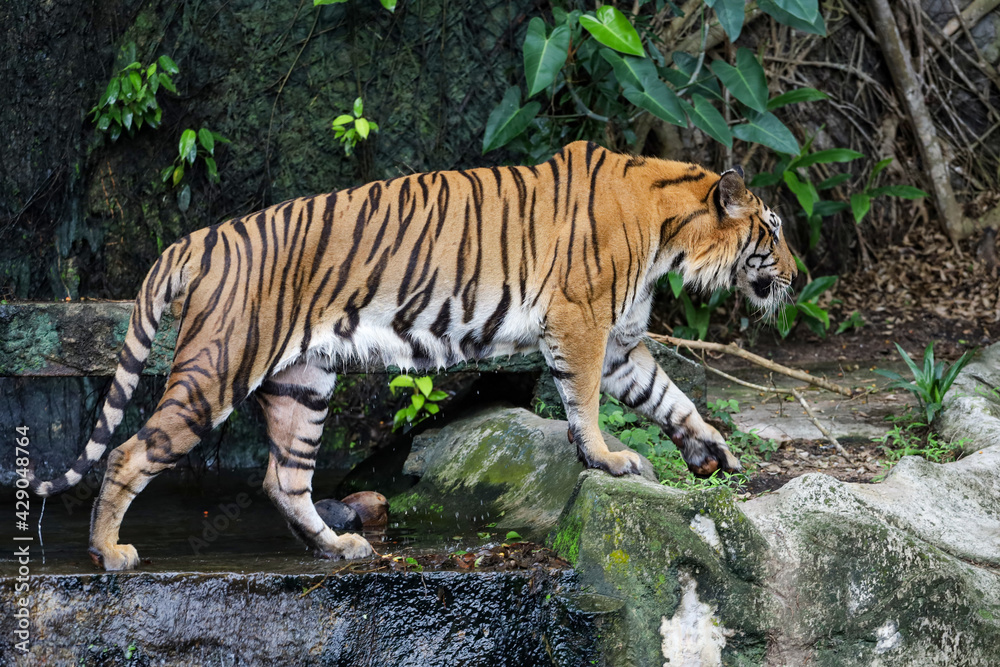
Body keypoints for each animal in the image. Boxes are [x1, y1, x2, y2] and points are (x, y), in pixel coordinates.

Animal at [31, 140, 792, 568]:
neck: (671, 234)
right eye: (774, 229)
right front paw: (606, 458)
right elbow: (585, 404)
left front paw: (712, 451)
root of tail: (199, 237)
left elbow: (672, 397)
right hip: (217, 369)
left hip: (304, 381)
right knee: (130, 451)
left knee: (284, 479)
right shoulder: (580, 324)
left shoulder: (621, 344)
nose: (795, 273)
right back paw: (109, 553)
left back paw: (340, 546)